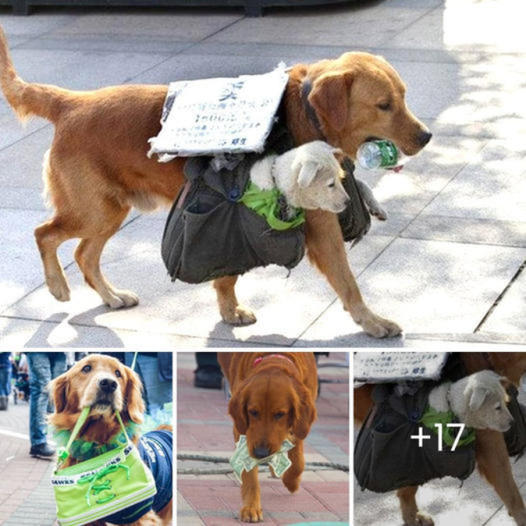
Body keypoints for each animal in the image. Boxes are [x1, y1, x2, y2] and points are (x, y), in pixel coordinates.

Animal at [0, 25, 434, 338]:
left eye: (404, 96)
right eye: (384, 105)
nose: (427, 136)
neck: (307, 114)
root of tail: (71, 102)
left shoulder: (232, 213)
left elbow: (225, 272)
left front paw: (228, 310)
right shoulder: (319, 225)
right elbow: (348, 283)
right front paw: (372, 322)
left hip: (110, 211)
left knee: (83, 255)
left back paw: (110, 297)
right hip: (94, 210)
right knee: (45, 234)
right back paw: (57, 286)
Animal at [218, 354, 318, 524]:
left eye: (279, 414)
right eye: (253, 412)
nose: (261, 453)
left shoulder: (300, 423)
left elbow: (298, 461)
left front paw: (292, 482)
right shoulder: (243, 433)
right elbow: (249, 474)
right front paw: (251, 507)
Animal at [354, 354, 526, 526]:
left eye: (506, 403)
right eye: (498, 407)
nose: (512, 423)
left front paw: (410, 514)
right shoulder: (488, 440)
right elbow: (511, 492)